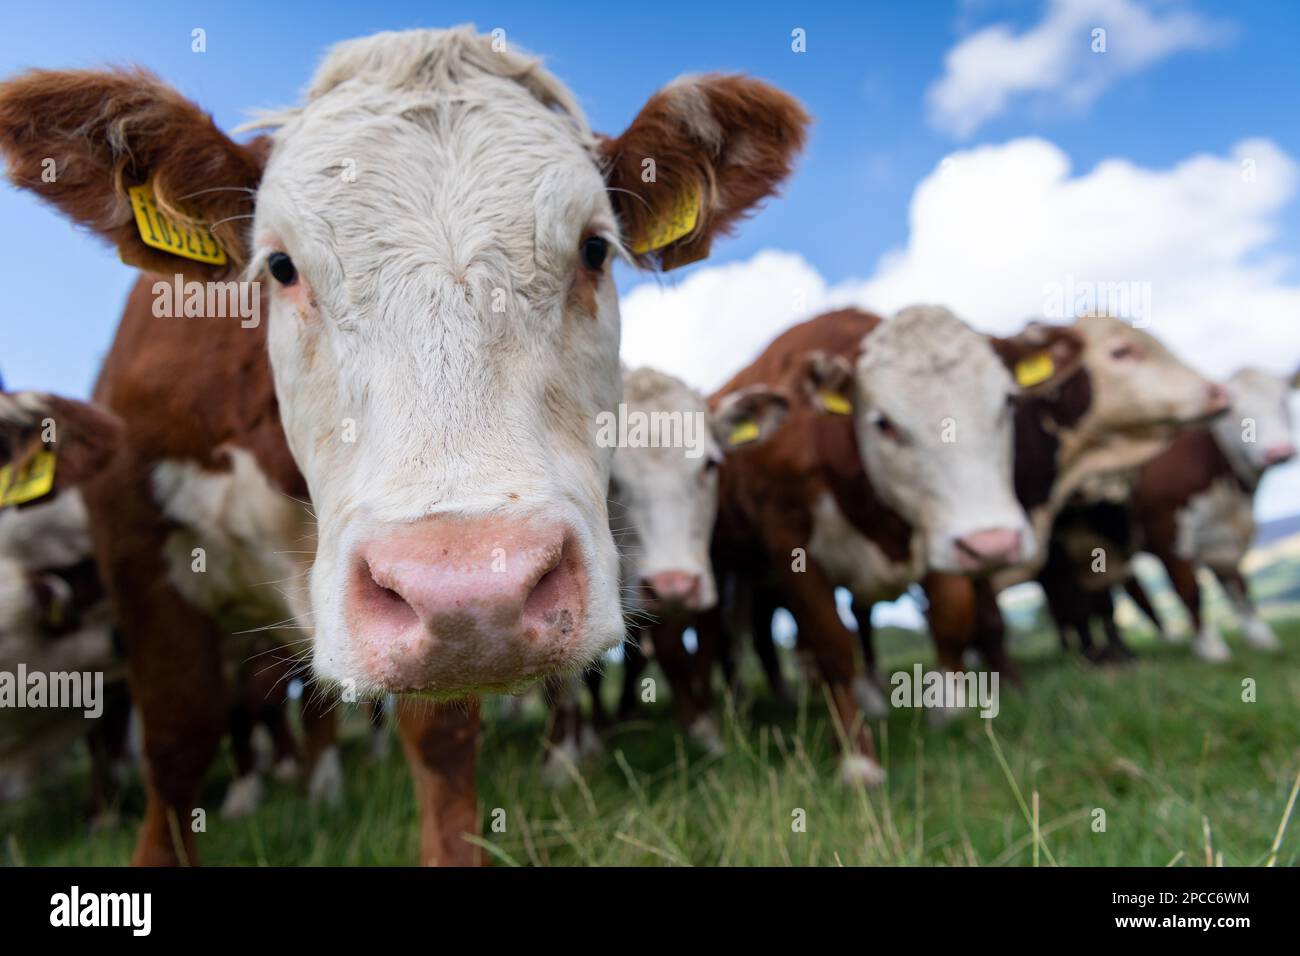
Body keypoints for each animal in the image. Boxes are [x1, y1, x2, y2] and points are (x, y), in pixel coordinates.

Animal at [710, 306, 1084, 784]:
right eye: (884, 423)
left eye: (1008, 403)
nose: (992, 543)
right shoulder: (789, 543)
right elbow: (832, 645)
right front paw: (858, 760)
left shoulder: (940, 534)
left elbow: (952, 616)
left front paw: (947, 709)